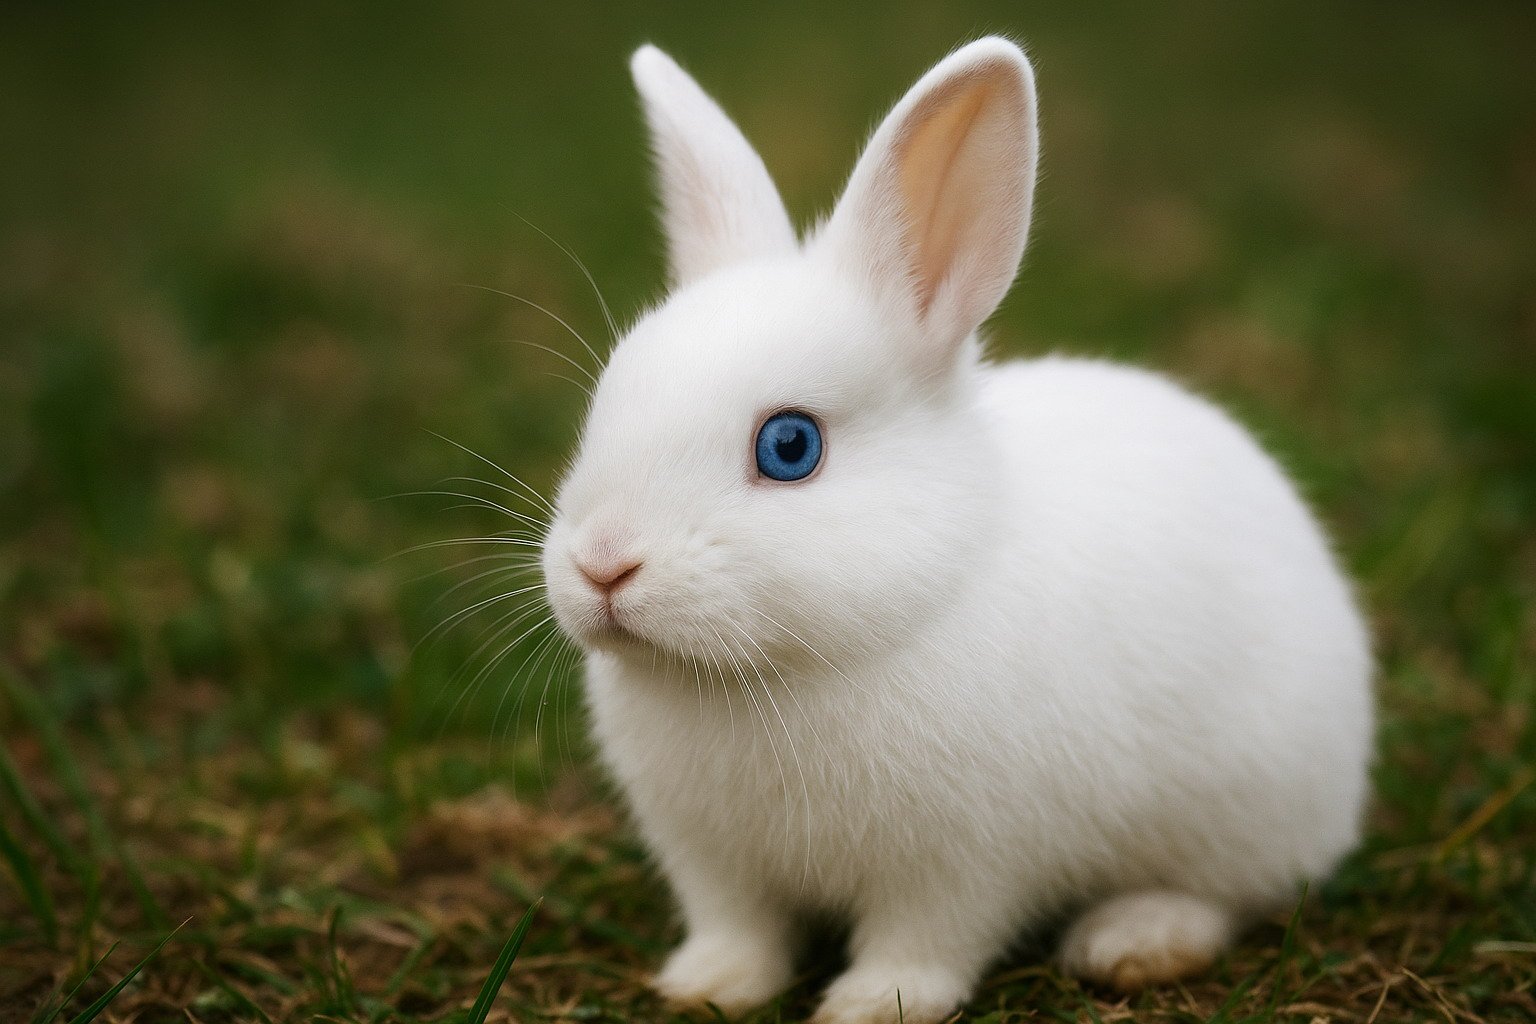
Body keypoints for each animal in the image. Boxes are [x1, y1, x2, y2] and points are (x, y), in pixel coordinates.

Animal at [537, 36, 1373, 1024]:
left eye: (790, 445)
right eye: (606, 403)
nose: (603, 565)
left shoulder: (963, 865)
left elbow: (926, 942)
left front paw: (871, 1005)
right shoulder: (710, 860)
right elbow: (740, 928)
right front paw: (705, 986)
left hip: (1247, 809)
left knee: (1231, 896)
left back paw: (1132, 940)